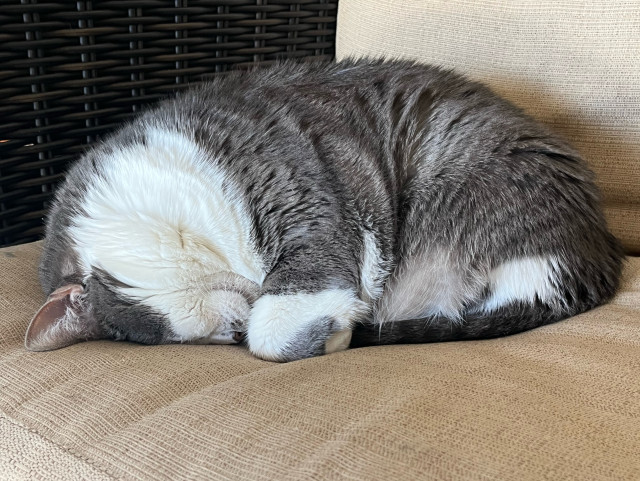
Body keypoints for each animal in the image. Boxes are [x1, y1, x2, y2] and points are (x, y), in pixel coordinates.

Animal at [26, 59, 624, 360]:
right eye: (211, 336)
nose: (234, 329)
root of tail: (597, 259)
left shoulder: (299, 194)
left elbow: (274, 330)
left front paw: (320, 328)